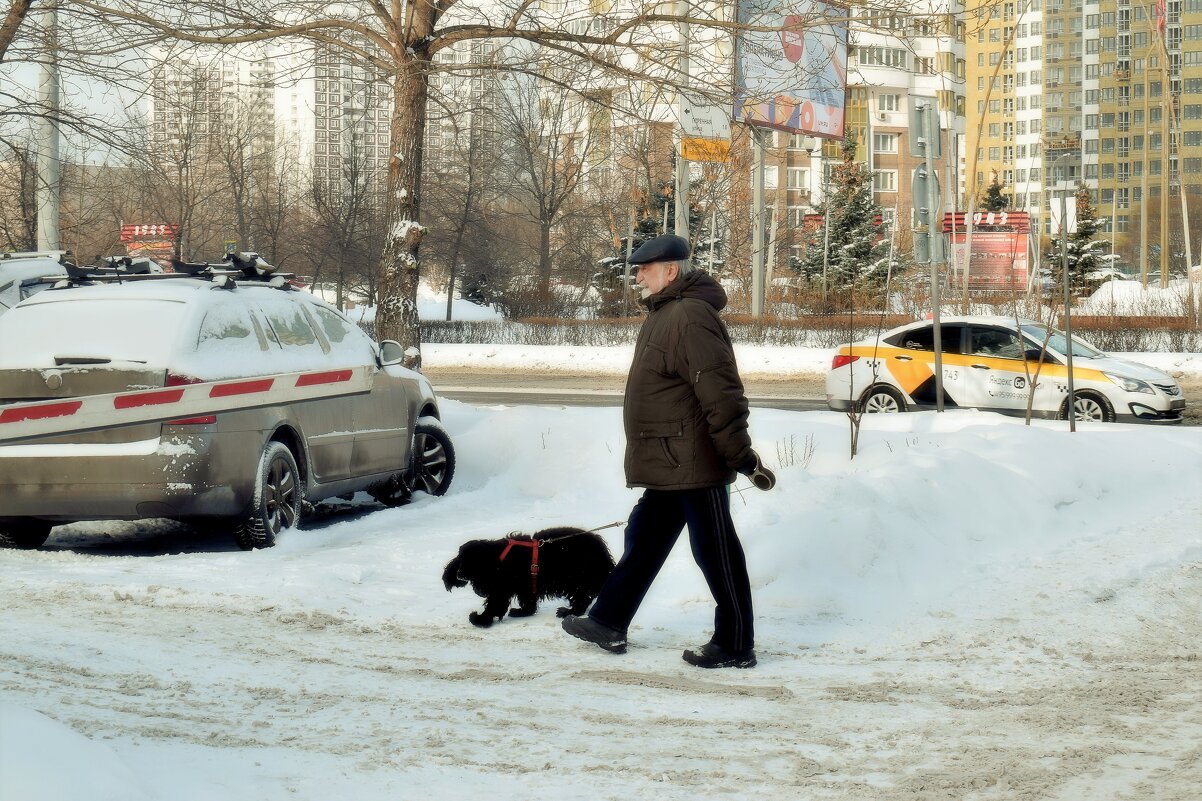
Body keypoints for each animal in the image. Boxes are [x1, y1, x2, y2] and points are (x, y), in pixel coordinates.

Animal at [442, 526, 615, 625]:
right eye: (461, 559)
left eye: (470, 560)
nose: (459, 574)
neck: (497, 557)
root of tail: (604, 554)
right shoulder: (525, 585)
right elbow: (528, 604)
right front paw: (522, 612)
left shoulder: (502, 588)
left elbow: (494, 604)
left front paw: (480, 619)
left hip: (577, 578)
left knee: (582, 598)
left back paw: (569, 612)